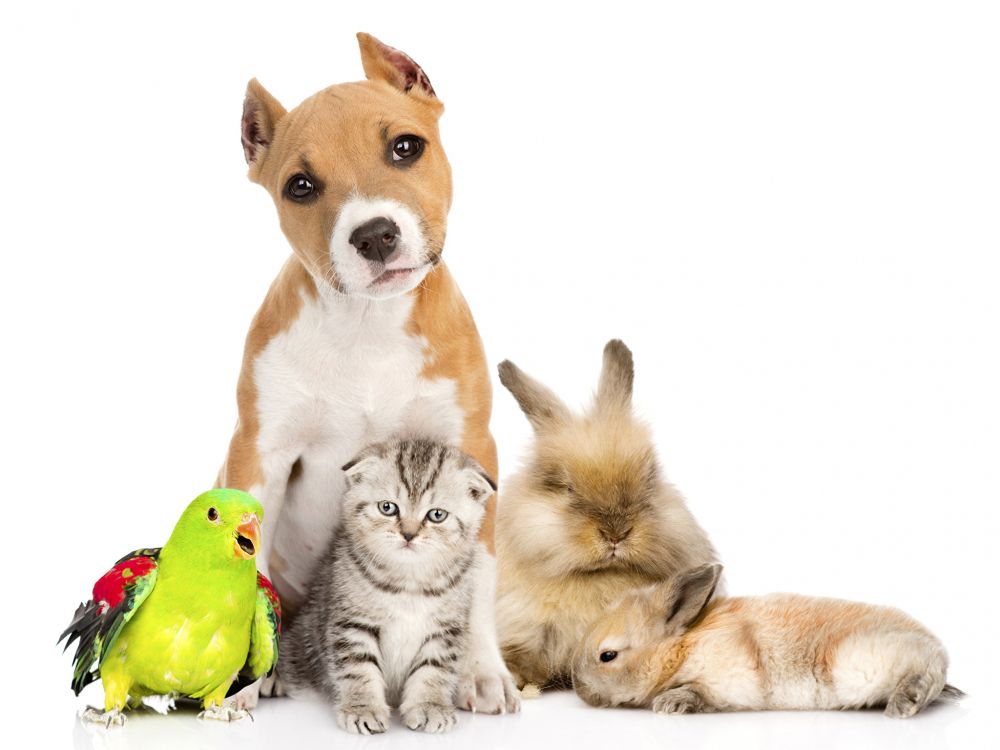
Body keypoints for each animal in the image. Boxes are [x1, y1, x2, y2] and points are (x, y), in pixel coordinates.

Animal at [274, 438, 496, 736]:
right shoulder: (353, 622)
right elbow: (359, 669)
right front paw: (363, 708)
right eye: (388, 508)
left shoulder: (445, 629)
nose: (409, 534)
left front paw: (430, 706)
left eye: (437, 515)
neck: (409, 581)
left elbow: (434, 670)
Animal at [580, 564, 960, 724]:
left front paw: (669, 704)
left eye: (607, 655)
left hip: (866, 662)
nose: (581, 692)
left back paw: (904, 703)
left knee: (927, 669)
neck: (683, 647)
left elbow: (697, 692)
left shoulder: (729, 678)